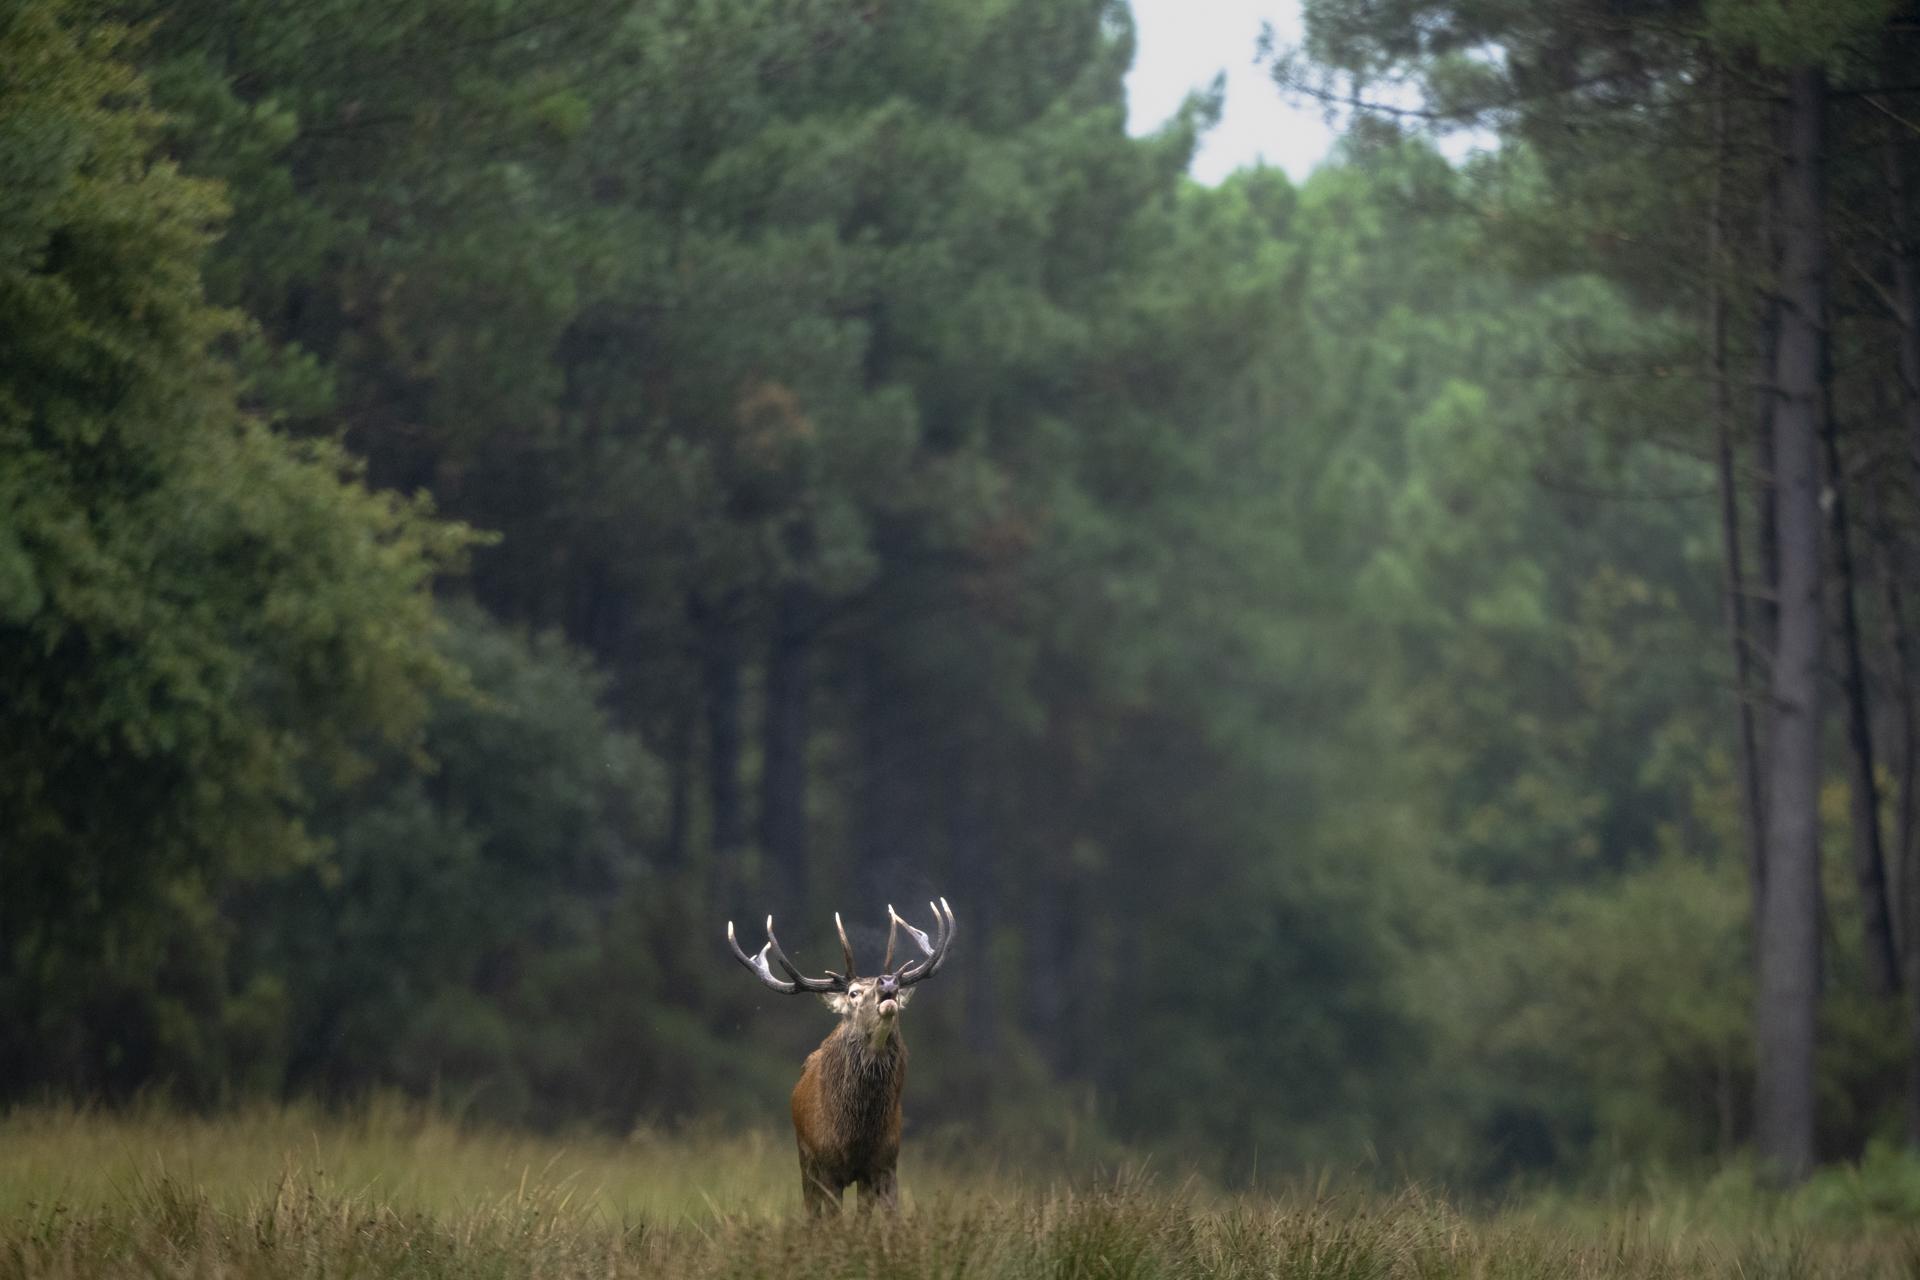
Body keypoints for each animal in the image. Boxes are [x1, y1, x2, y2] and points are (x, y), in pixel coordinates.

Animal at [726, 898, 954, 1215]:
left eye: (896, 988)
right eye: (853, 993)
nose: (888, 984)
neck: (856, 1135)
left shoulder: (885, 1163)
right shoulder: (827, 1166)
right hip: (805, 1161)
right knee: (813, 1213)